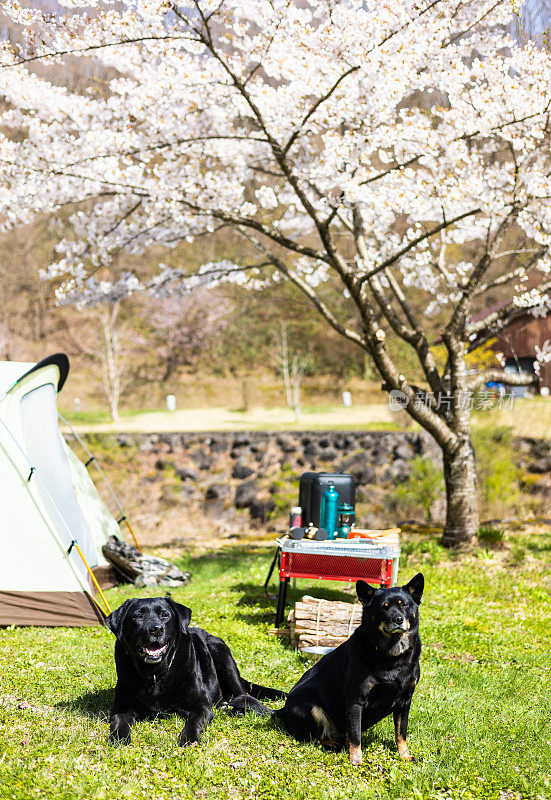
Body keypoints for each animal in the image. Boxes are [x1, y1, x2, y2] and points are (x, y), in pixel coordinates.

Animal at [108, 596, 288, 748]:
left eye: (165, 615)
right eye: (138, 616)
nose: (156, 629)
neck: (155, 675)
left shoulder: (201, 705)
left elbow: (194, 722)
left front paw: (189, 739)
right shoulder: (121, 705)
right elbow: (118, 721)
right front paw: (119, 738)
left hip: (220, 649)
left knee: (242, 695)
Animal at [276, 572, 426, 764]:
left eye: (404, 605)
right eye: (383, 607)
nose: (398, 619)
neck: (392, 656)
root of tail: (281, 711)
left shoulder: (405, 700)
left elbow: (401, 732)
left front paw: (404, 755)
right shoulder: (355, 699)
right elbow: (355, 735)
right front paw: (356, 761)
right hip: (311, 706)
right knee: (313, 738)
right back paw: (334, 745)